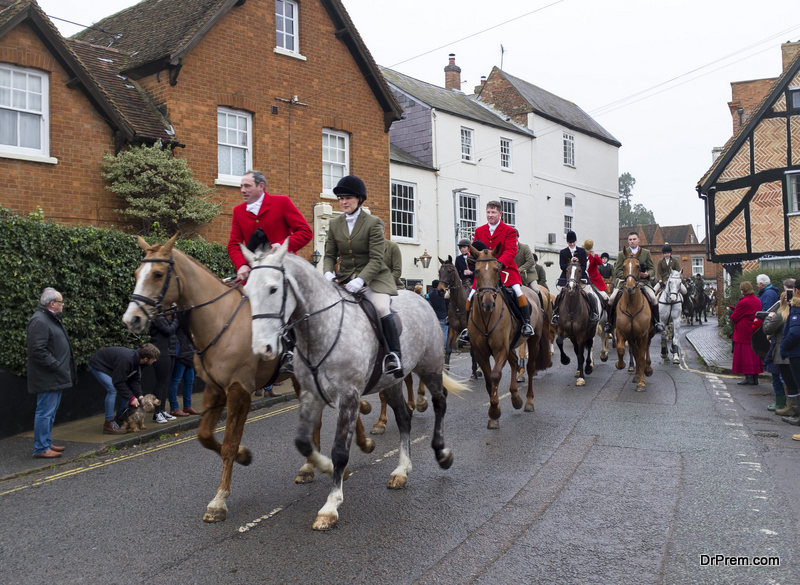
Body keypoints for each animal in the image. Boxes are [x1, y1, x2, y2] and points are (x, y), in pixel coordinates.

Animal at [121, 235, 378, 524]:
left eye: (157, 274)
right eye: (135, 273)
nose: (131, 318)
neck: (220, 321)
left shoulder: (239, 390)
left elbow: (228, 444)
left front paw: (219, 500)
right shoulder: (214, 389)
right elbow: (205, 436)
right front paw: (244, 457)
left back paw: (357, 447)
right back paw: (313, 466)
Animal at [241, 241, 462, 528]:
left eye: (273, 288)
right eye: (246, 291)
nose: (262, 348)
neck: (320, 330)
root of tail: (419, 299)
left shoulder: (348, 395)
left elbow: (340, 450)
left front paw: (331, 505)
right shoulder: (311, 394)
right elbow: (303, 442)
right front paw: (323, 467)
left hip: (430, 366)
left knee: (440, 401)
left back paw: (442, 453)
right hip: (391, 381)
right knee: (404, 417)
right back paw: (401, 470)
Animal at [468, 243, 552, 428]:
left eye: (497, 269)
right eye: (476, 270)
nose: (488, 303)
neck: (487, 316)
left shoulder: (500, 349)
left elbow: (495, 376)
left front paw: (494, 412)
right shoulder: (480, 352)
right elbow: (488, 380)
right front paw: (494, 413)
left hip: (533, 341)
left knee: (530, 368)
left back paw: (528, 401)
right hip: (511, 345)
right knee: (514, 363)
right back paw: (515, 398)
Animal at [556, 258, 600, 386]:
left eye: (580, 270)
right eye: (567, 269)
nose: (571, 287)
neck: (571, 308)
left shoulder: (581, 334)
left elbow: (581, 355)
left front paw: (581, 378)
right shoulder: (564, 330)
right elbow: (559, 341)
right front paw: (565, 360)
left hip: (591, 331)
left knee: (589, 345)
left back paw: (588, 367)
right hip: (573, 337)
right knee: (577, 350)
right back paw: (578, 370)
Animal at [616, 254, 652, 388]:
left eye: (638, 266)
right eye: (623, 266)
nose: (630, 287)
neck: (632, 306)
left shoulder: (643, 334)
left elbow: (641, 357)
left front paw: (641, 383)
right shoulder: (622, 332)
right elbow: (622, 350)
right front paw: (620, 365)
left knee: (646, 349)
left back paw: (647, 369)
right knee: (635, 353)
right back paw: (637, 374)